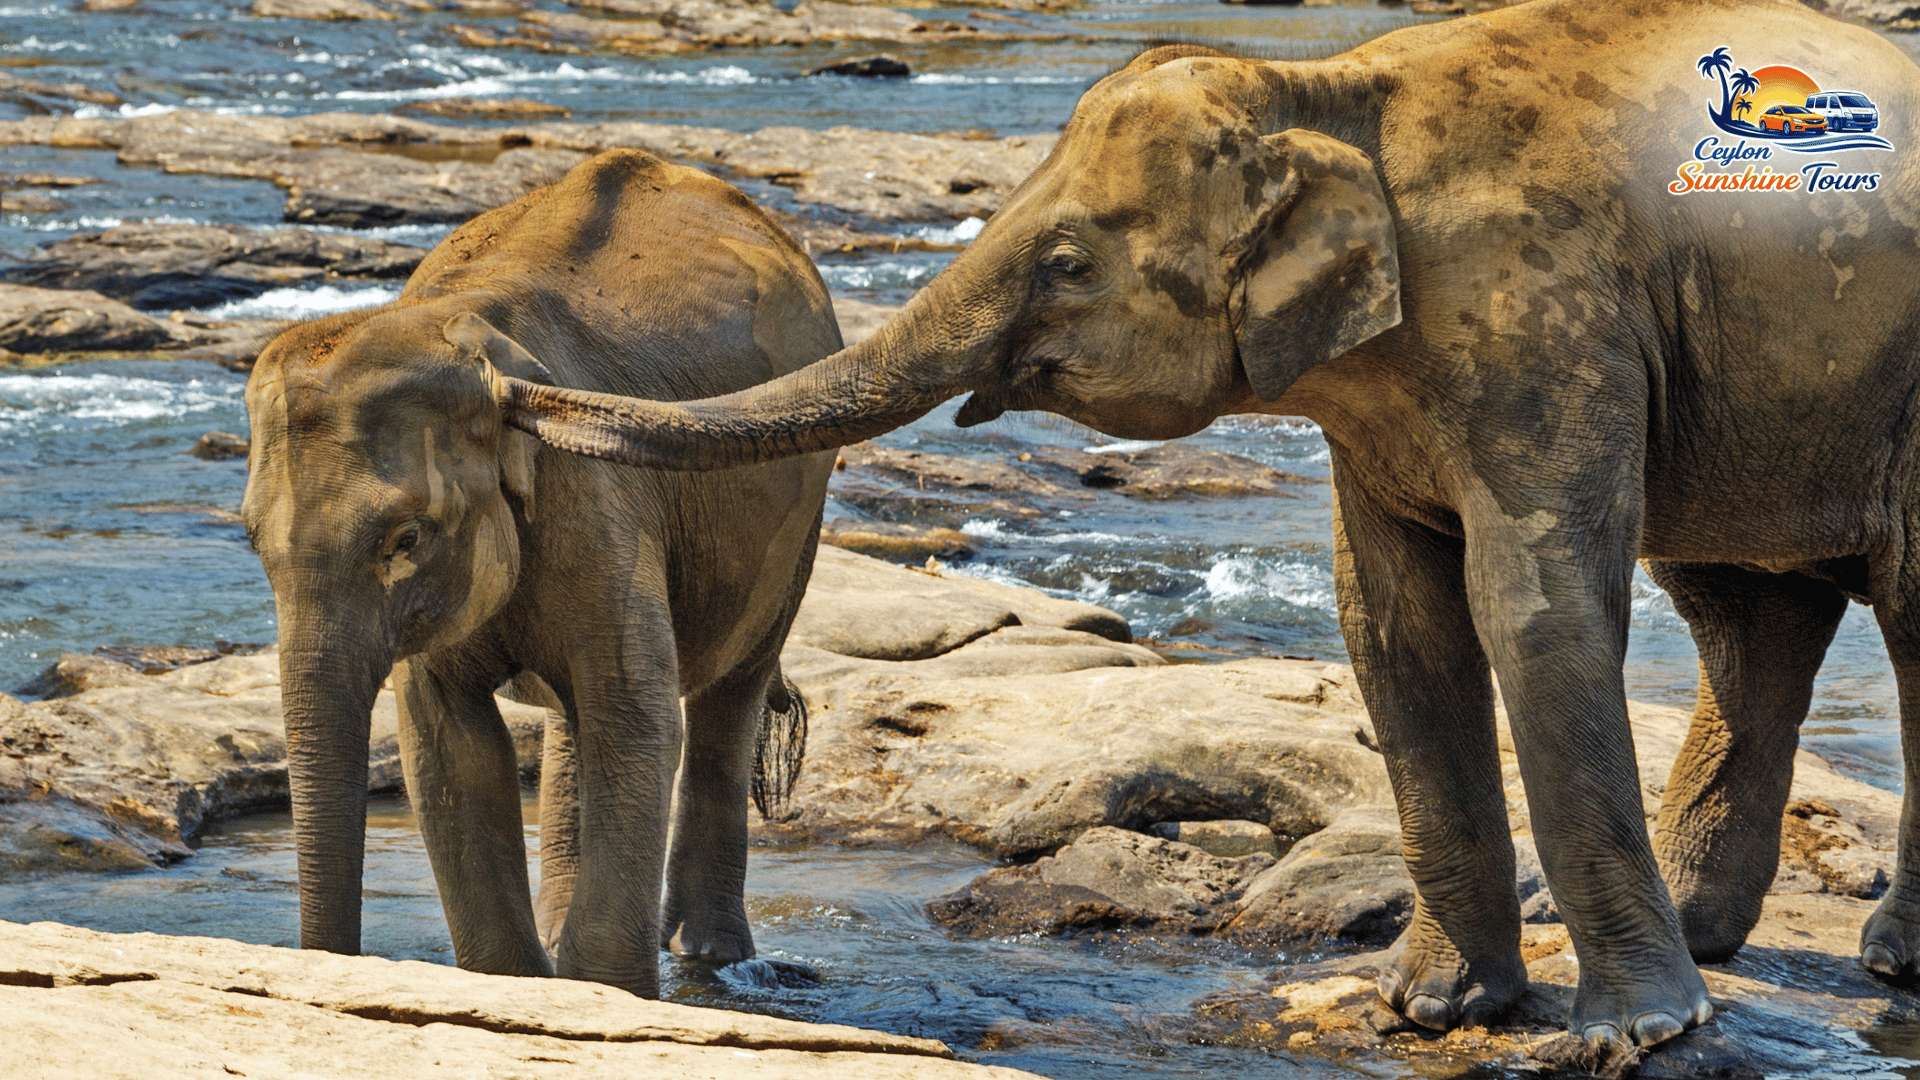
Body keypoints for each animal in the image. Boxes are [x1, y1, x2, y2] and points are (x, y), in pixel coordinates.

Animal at [239, 148, 838, 997]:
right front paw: (520, 980)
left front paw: (602, 990)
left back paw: (710, 955)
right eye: (251, 539)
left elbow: (637, 717)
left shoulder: (596, 495)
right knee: (576, 718)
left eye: (405, 538)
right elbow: (448, 744)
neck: (470, 340)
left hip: (799, 506)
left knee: (728, 695)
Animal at [463, 0, 1920, 1047]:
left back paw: (1861, 962)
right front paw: (1432, 1010)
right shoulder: (1396, 390)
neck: (1333, 89)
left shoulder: (1550, 324)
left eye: (1065, 264)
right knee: (1748, 617)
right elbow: (1393, 629)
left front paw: (1634, 1040)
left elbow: (1536, 610)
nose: (497, 380)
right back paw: (1719, 937)